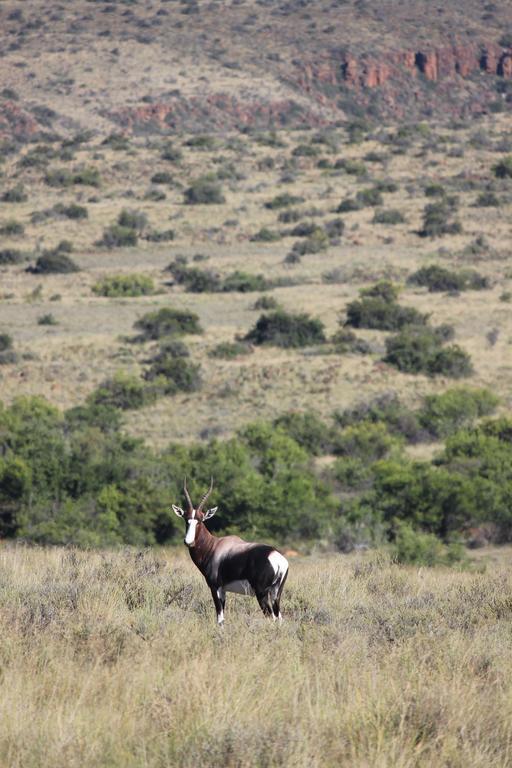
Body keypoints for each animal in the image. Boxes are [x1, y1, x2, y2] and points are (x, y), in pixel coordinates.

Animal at [172, 480, 288, 624]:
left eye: (200, 520)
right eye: (186, 520)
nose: (188, 541)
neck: (214, 546)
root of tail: (276, 558)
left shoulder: (215, 587)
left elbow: (219, 618)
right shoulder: (224, 590)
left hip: (262, 594)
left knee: (271, 617)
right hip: (276, 594)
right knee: (279, 617)